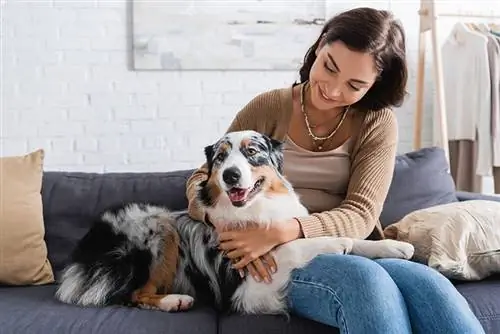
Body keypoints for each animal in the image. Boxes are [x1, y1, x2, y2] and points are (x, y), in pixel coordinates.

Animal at [54, 131, 414, 316]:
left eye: (252, 151)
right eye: (220, 158)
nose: (230, 175)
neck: (258, 207)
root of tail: (87, 247)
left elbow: (352, 240)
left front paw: (394, 244)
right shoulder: (250, 285)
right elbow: (294, 245)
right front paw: (335, 243)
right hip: (156, 225)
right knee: (131, 293)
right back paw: (174, 301)